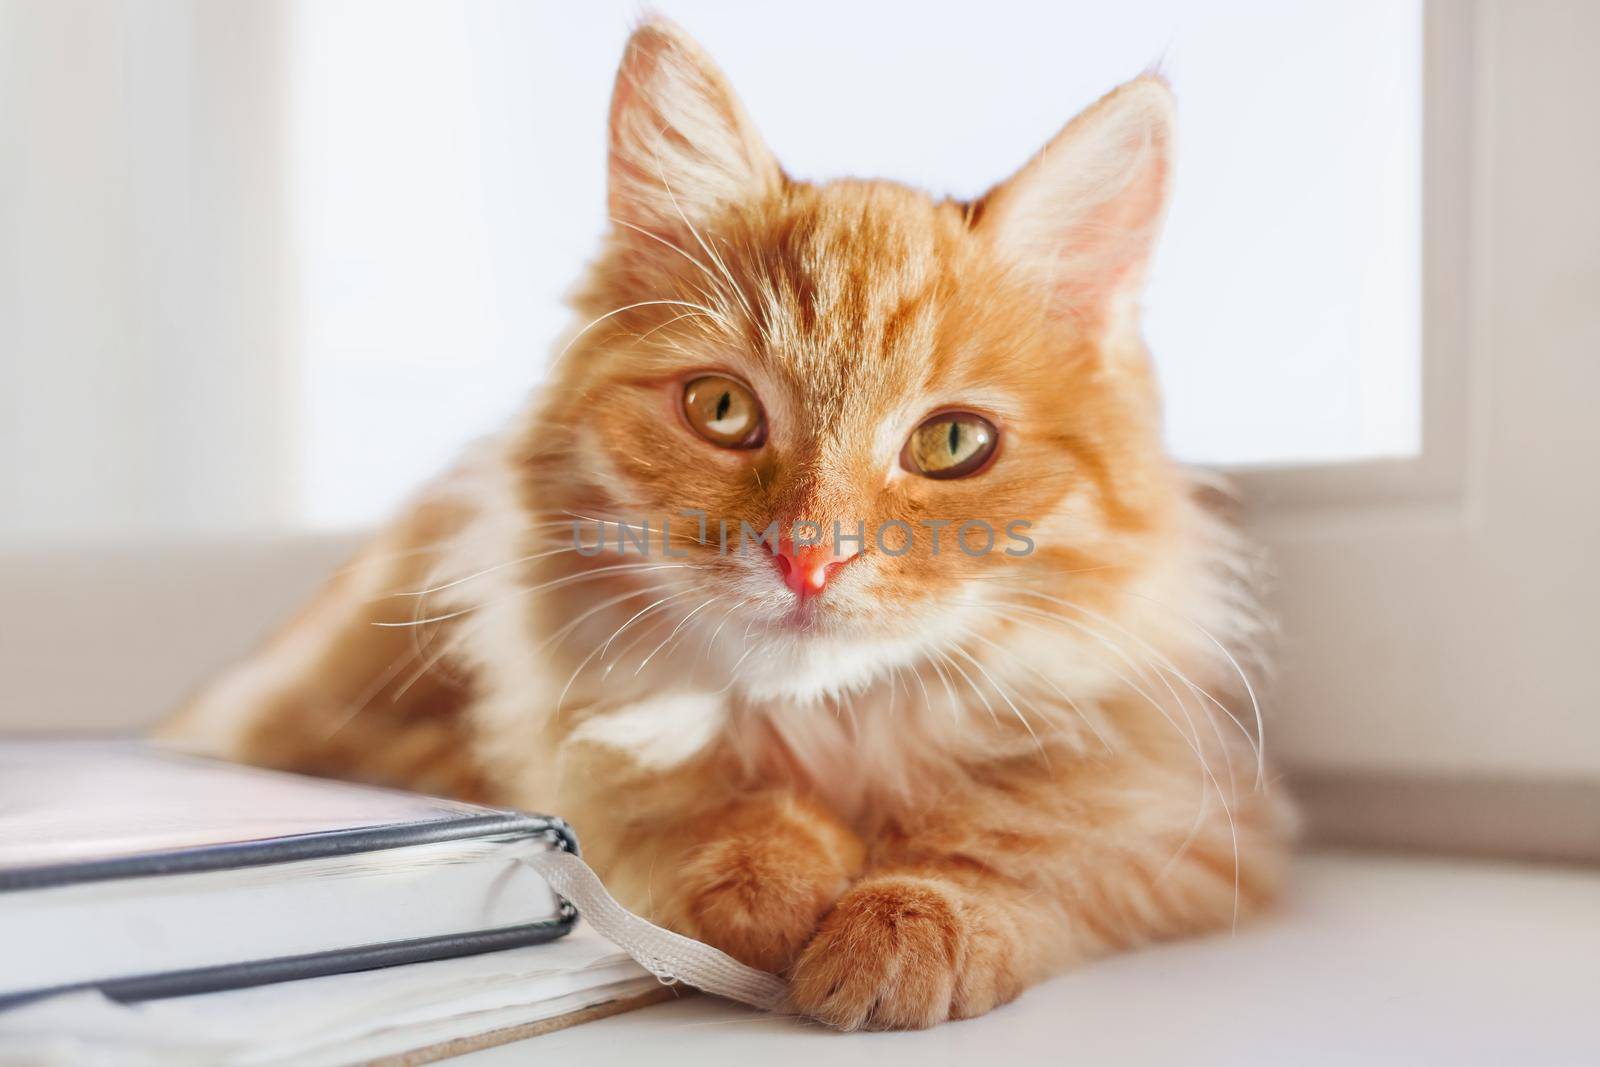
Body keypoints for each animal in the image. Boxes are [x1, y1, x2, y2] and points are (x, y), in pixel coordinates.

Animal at [162, 18, 1286, 1036]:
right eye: (722, 409)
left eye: (952, 441)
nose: (808, 556)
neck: (834, 738)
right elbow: (684, 789)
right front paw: (766, 874)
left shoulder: (1190, 812)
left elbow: (1017, 834)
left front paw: (907, 918)